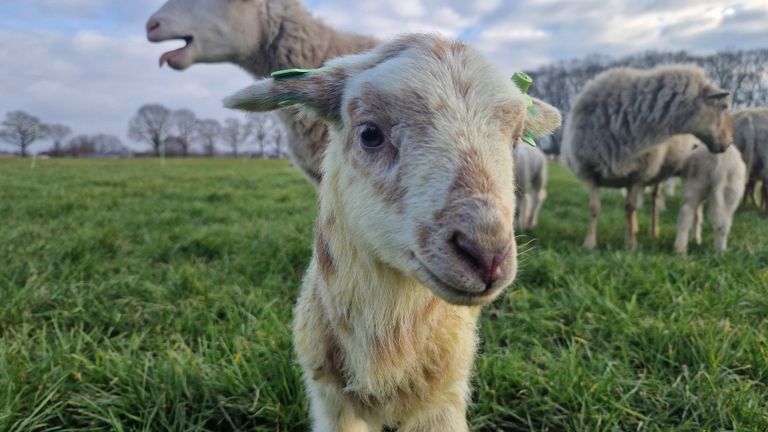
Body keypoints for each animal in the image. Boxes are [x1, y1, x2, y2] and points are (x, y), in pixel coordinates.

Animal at [222, 34, 560, 432]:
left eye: (516, 139)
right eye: (370, 133)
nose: (487, 253)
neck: (386, 340)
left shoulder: (442, 402)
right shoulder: (330, 400)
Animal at [560, 63, 736, 250]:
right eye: (724, 107)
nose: (729, 143)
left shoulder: (637, 174)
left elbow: (629, 207)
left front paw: (630, 244)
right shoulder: (589, 171)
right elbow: (594, 208)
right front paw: (589, 243)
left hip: (657, 173)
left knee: (654, 199)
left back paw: (653, 230)